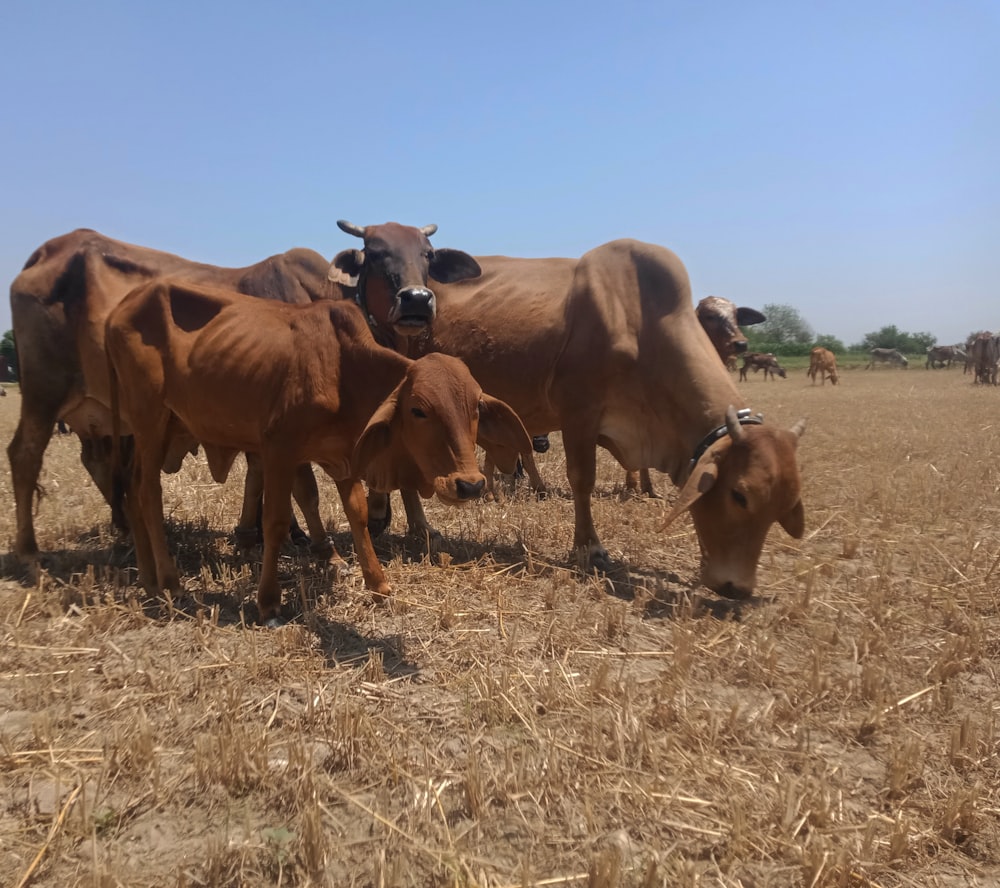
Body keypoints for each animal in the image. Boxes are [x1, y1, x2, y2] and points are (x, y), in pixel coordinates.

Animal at [106, 284, 532, 624]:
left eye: (475, 409)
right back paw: (170, 582)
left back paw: (148, 578)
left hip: (162, 428)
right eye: (418, 410)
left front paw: (378, 584)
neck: (344, 370)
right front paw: (269, 602)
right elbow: (276, 522)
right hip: (149, 419)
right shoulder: (278, 450)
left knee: (131, 488)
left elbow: (357, 514)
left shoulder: (344, 454)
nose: (470, 485)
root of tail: (118, 308)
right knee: (147, 492)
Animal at [340, 236, 808, 596]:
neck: (637, 319)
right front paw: (590, 548)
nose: (736, 588)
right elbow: (582, 480)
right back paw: (418, 527)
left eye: (783, 506)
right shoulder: (579, 413)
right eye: (739, 495)